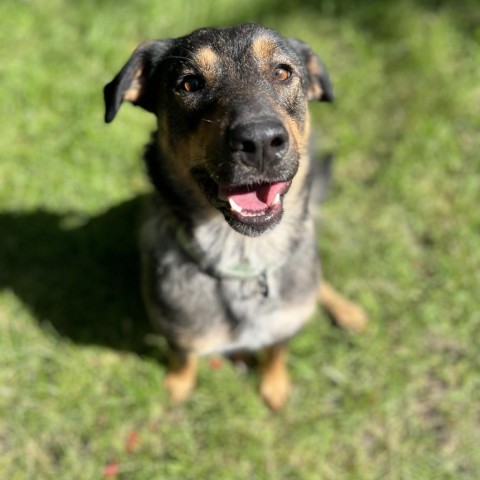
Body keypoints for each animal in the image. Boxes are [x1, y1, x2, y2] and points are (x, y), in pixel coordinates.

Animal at [103, 24, 366, 410]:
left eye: (283, 72)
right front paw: (178, 385)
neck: (243, 257)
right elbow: (183, 356)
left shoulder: (285, 322)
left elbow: (276, 351)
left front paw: (274, 386)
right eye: (189, 83)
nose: (260, 142)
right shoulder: (179, 331)